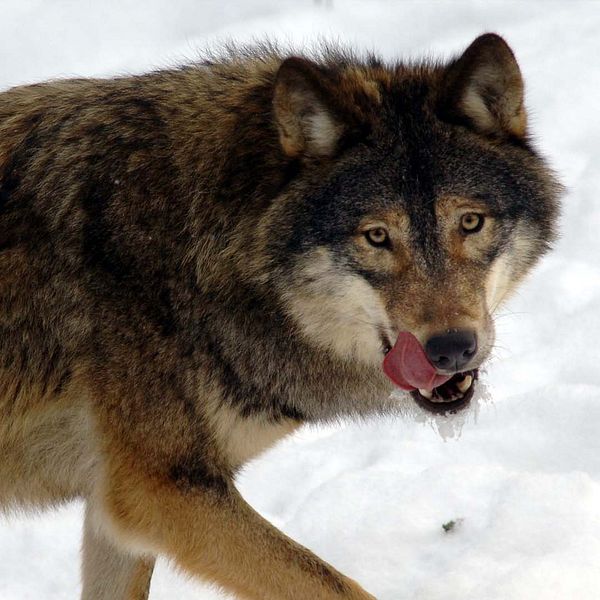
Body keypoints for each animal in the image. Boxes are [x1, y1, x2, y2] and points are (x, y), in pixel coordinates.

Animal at [0, 34, 560, 600]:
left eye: (470, 222)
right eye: (377, 236)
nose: (450, 348)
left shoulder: (119, 507)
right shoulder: (159, 490)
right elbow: (336, 587)